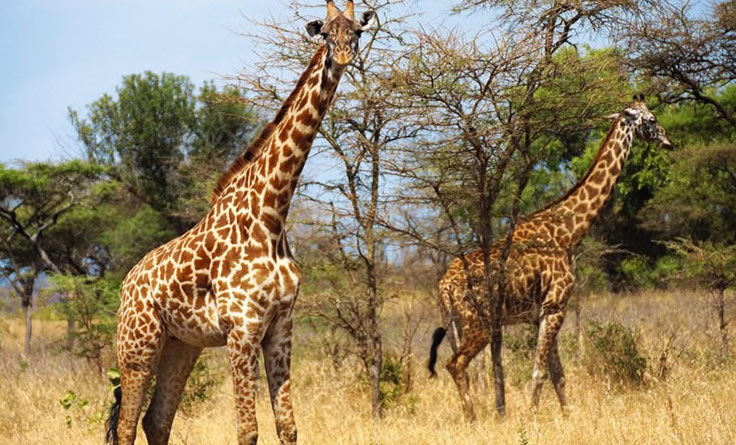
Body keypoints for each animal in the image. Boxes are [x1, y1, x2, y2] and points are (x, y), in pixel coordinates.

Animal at [108, 1, 380, 442]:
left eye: (356, 31)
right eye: (325, 33)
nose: (342, 56)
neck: (271, 213)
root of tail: (127, 285)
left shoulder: (281, 327)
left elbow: (288, 427)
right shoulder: (242, 327)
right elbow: (249, 430)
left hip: (182, 344)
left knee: (156, 419)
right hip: (138, 343)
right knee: (127, 425)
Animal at [428, 98, 676, 420]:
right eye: (652, 119)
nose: (669, 141)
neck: (569, 231)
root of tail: (444, 285)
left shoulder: (542, 313)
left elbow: (559, 374)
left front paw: (567, 417)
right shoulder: (556, 306)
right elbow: (540, 372)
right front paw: (532, 418)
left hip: (455, 324)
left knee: (459, 367)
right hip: (478, 324)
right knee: (455, 363)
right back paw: (473, 420)